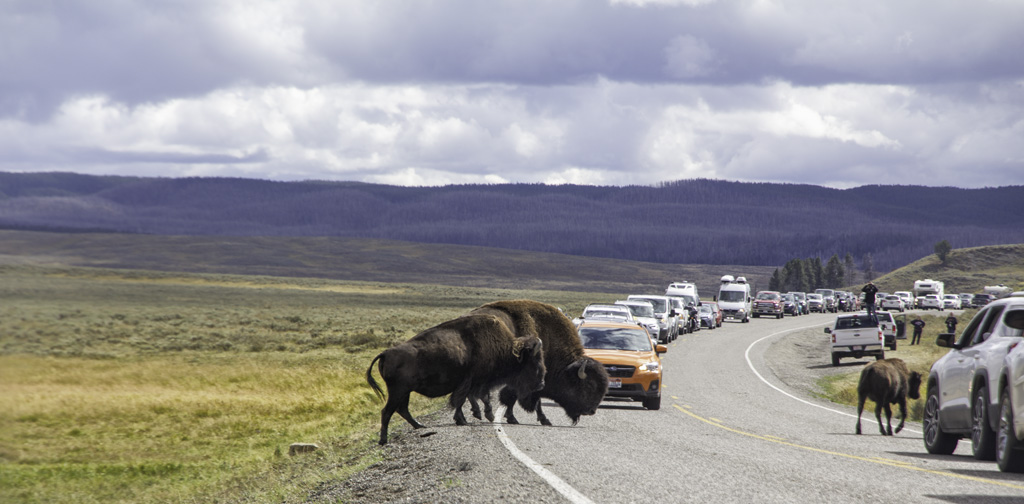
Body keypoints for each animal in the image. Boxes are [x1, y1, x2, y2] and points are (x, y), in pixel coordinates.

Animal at [366, 315, 544, 444]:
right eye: (534, 363)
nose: (541, 384)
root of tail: (386, 353)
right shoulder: (472, 382)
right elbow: (463, 400)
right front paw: (464, 420)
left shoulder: (475, 383)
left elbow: (475, 398)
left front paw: (480, 416)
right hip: (398, 391)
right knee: (387, 411)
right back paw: (383, 440)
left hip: (405, 392)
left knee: (402, 409)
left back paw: (420, 425)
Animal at [468, 301, 610, 428]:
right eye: (589, 386)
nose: (591, 411)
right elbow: (517, 398)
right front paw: (518, 418)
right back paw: (486, 413)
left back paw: (478, 412)